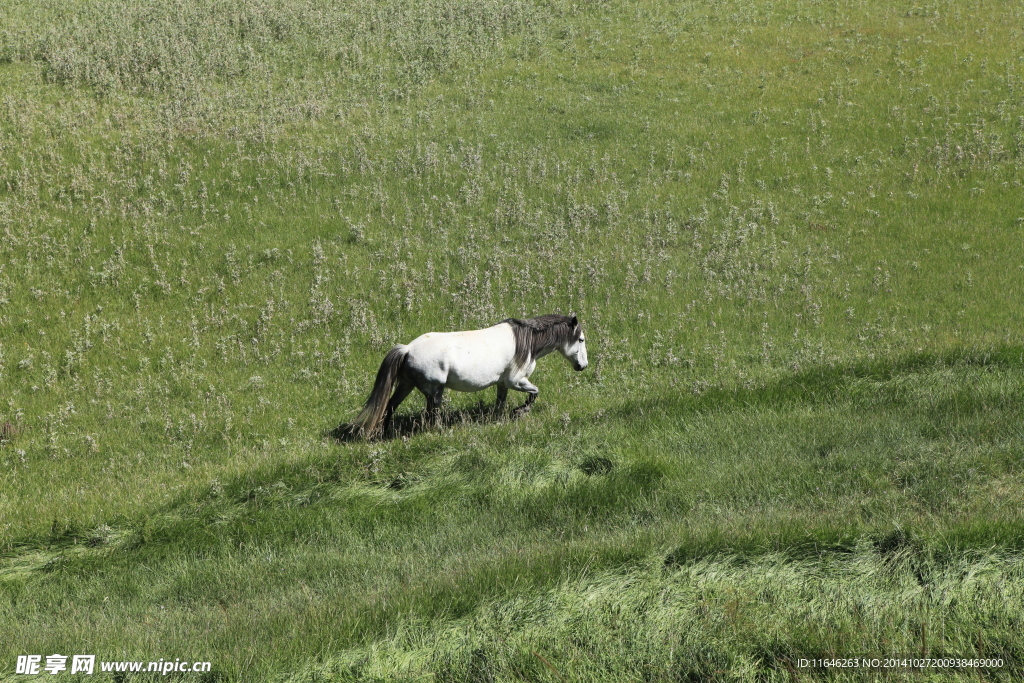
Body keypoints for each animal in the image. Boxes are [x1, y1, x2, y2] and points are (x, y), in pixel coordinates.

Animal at [352, 315, 589, 438]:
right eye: (581, 340)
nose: (583, 366)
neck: (527, 341)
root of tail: (408, 349)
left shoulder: (503, 384)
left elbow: (500, 403)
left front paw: (498, 420)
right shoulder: (516, 381)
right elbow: (534, 393)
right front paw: (520, 411)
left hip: (406, 385)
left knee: (390, 405)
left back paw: (384, 432)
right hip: (434, 391)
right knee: (431, 414)